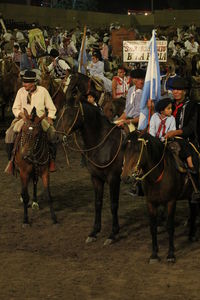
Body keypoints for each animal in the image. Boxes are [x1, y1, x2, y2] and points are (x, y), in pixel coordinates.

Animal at [55, 97, 122, 245]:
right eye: (60, 113)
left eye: (70, 114)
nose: (56, 137)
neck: (103, 143)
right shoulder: (96, 178)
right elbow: (98, 203)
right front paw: (94, 232)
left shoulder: (114, 178)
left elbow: (114, 205)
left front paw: (113, 234)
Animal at [121, 131, 198, 262]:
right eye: (125, 149)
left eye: (137, 150)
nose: (125, 176)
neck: (158, 174)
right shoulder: (150, 203)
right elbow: (153, 227)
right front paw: (154, 254)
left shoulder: (171, 202)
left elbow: (170, 226)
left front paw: (171, 254)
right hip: (190, 196)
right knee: (193, 212)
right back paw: (191, 235)